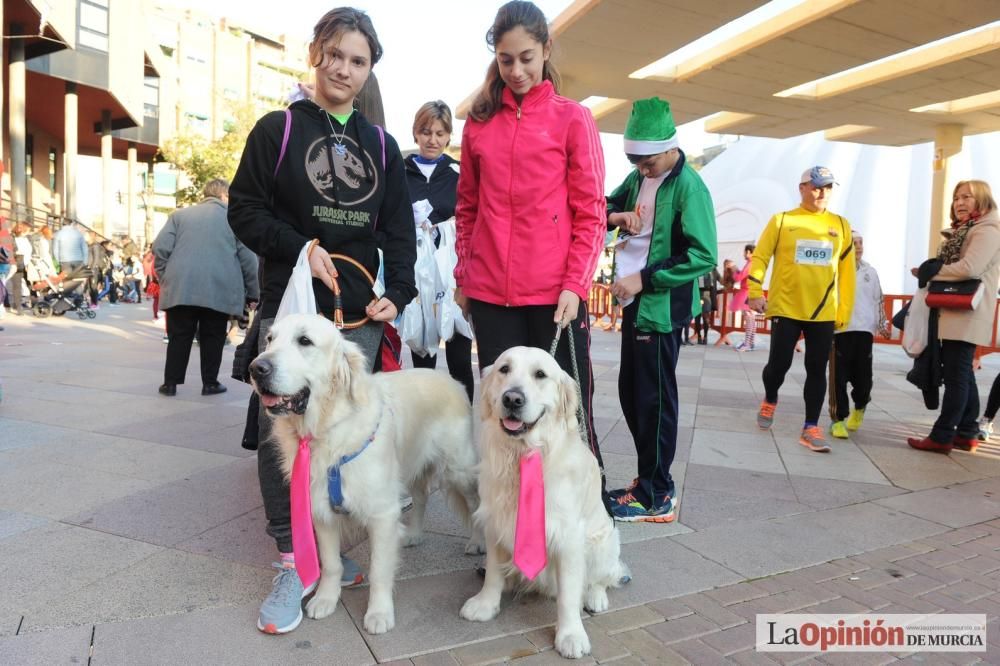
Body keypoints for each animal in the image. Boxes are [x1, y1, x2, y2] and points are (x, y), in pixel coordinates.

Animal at [252, 312, 482, 632]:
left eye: (304, 340)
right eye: (270, 339)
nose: (256, 369)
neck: (328, 429)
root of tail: (452, 380)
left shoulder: (382, 514)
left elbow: (379, 571)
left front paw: (379, 613)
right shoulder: (321, 510)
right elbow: (331, 564)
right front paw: (325, 598)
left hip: (458, 470)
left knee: (475, 504)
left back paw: (477, 542)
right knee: (421, 497)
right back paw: (413, 534)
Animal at [458, 344, 628, 656]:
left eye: (540, 374)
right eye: (504, 369)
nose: (512, 398)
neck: (524, 453)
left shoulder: (568, 535)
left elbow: (569, 592)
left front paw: (571, 634)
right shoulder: (496, 522)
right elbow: (493, 573)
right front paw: (486, 604)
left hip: (604, 540)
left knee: (601, 578)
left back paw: (595, 597)